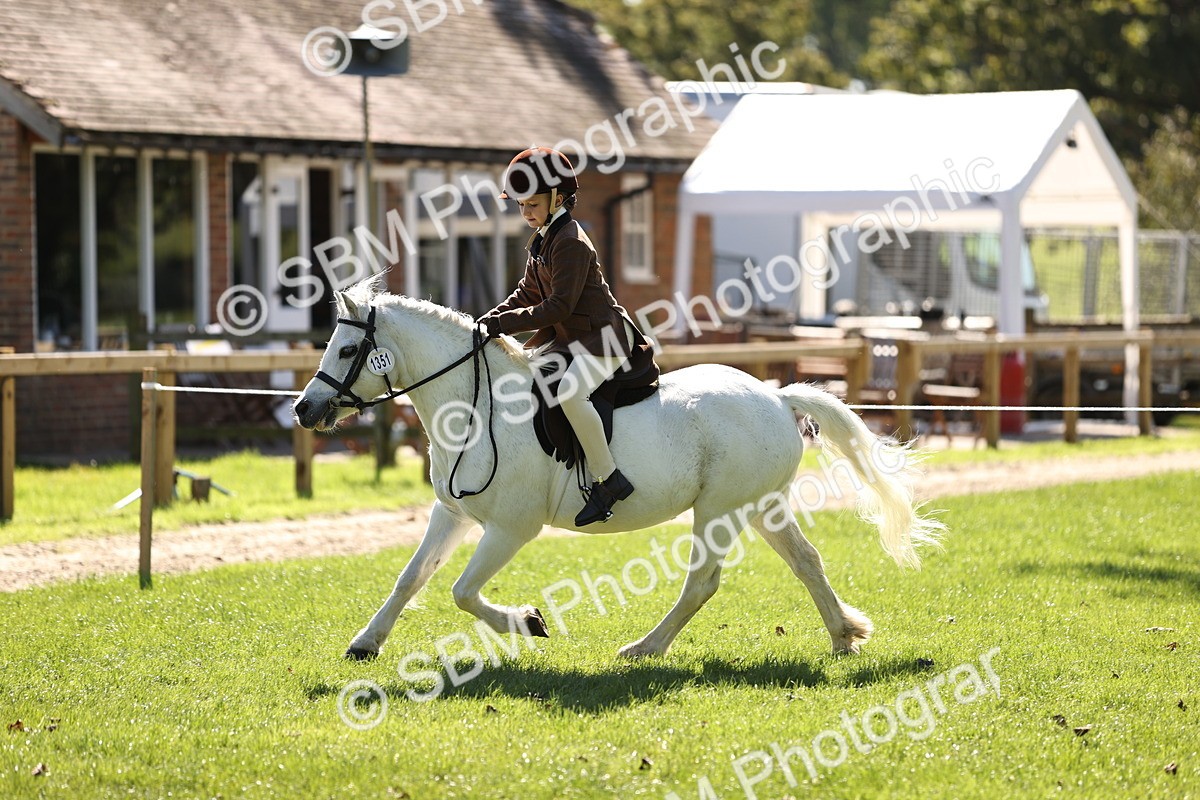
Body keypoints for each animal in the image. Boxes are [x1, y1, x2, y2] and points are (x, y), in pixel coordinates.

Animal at [293, 280, 943, 661]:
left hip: (719, 510)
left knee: (702, 583)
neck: (476, 404)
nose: (304, 409)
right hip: (760, 505)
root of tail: (777, 397)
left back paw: (644, 648)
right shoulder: (450, 512)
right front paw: (365, 644)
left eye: (347, 350)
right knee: (806, 562)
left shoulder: (509, 529)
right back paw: (843, 636)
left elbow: (462, 592)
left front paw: (528, 623)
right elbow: (411, 580)